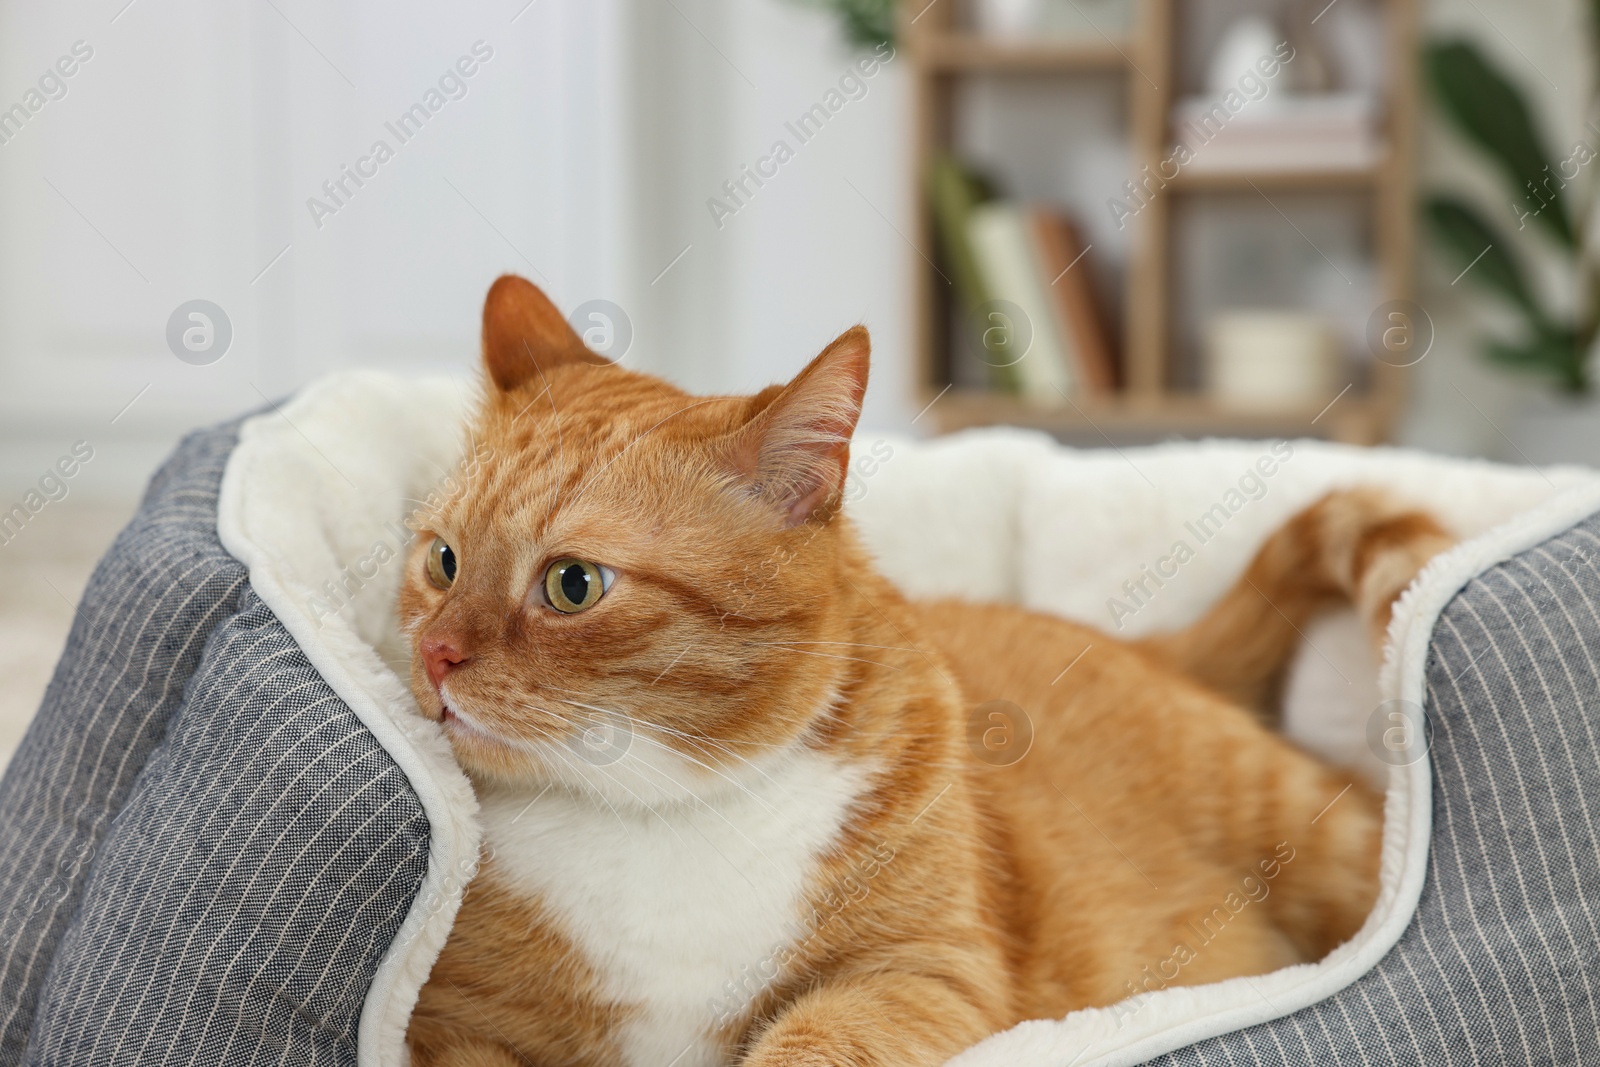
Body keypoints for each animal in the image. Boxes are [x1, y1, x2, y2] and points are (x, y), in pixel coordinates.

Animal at [400, 278, 1452, 1067]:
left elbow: (814, 1039)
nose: (435, 655)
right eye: (442, 560)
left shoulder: (925, 974)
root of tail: (1151, 644)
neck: (653, 810)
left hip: (1314, 832)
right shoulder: (444, 1027)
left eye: (572, 584)